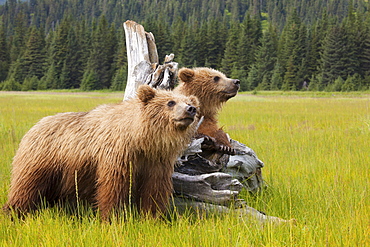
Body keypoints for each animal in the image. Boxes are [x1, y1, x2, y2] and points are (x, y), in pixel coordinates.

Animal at [2, 85, 199, 220]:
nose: (191, 109)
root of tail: (34, 126)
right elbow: (113, 186)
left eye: (189, 102)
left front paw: (152, 217)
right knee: (27, 187)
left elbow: (154, 189)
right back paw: (12, 212)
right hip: (43, 160)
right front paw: (112, 217)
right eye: (170, 102)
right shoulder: (117, 154)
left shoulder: (156, 161)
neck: (140, 140)